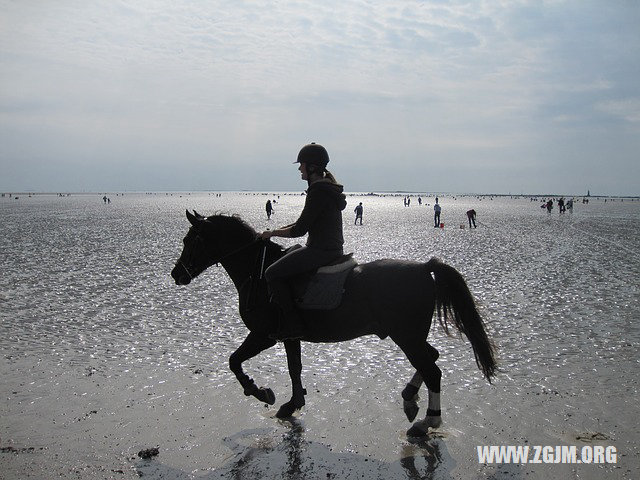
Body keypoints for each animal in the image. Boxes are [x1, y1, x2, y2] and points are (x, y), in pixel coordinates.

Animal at [170, 212, 496, 436]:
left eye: (189, 241)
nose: (177, 274)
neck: (259, 273)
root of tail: (424, 267)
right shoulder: (289, 336)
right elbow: (294, 368)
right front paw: (292, 403)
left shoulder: (263, 335)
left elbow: (234, 361)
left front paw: (260, 391)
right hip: (410, 336)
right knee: (432, 359)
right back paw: (409, 398)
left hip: (407, 337)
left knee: (433, 370)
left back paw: (428, 420)